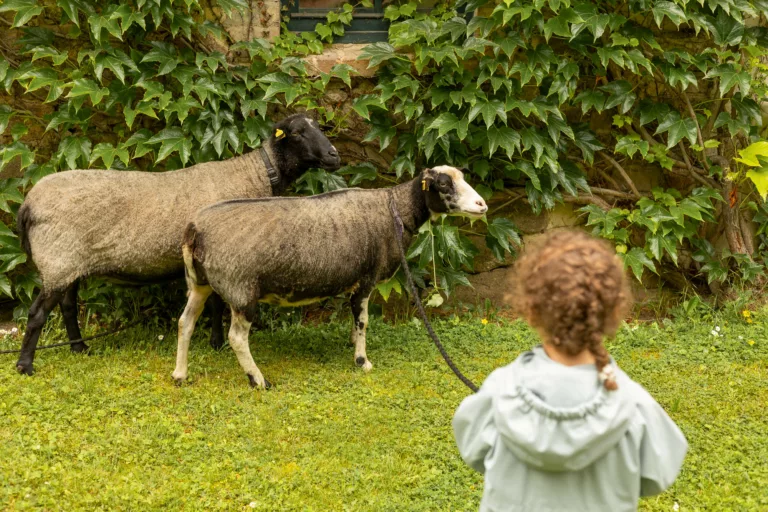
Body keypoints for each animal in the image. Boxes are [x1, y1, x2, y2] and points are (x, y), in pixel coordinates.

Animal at [14, 114, 340, 374]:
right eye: (297, 132)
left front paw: (215, 342)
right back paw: (25, 365)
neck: (256, 175)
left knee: (68, 307)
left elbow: (214, 305)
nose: (334, 155)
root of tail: (28, 204)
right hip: (57, 260)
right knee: (37, 314)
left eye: (319, 127)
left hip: (67, 263)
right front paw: (217, 343)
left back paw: (80, 348)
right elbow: (218, 305)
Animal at [173, 167, 486, 388]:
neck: (395, 209)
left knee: (185, 322)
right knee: (236, 338)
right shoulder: (367, 278)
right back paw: (258, 380)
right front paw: (362, 361)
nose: (482, 205)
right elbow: (363, 320)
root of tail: (194, 229)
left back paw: (180, 374)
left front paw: (352, 343)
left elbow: (355, 319)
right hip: (241, 290)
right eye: (443, 184)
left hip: (199, 283)